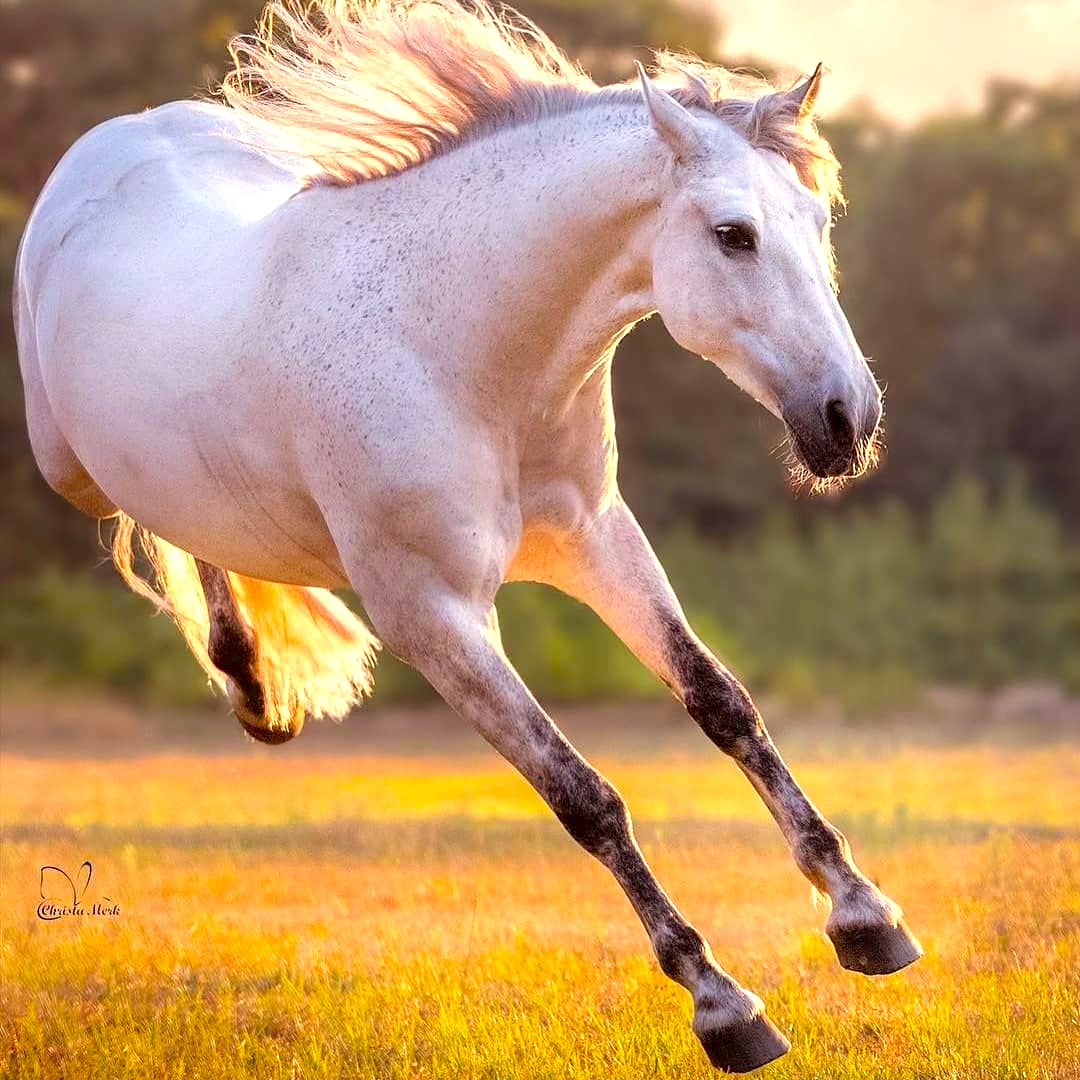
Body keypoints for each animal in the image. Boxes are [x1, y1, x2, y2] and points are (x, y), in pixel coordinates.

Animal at [14, 0, 921, 1070]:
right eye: (732, 235)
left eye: (818, 222)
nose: (847, 419)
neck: (458, 350)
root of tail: (111, 142)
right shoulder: (433, 618)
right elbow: (583, 794)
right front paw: (722, 1004)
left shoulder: (597, 542)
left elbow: (723, 704)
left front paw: (865, 915)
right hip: (69, 469)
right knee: (151, 522)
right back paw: (246, 677)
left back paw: (259, 693)